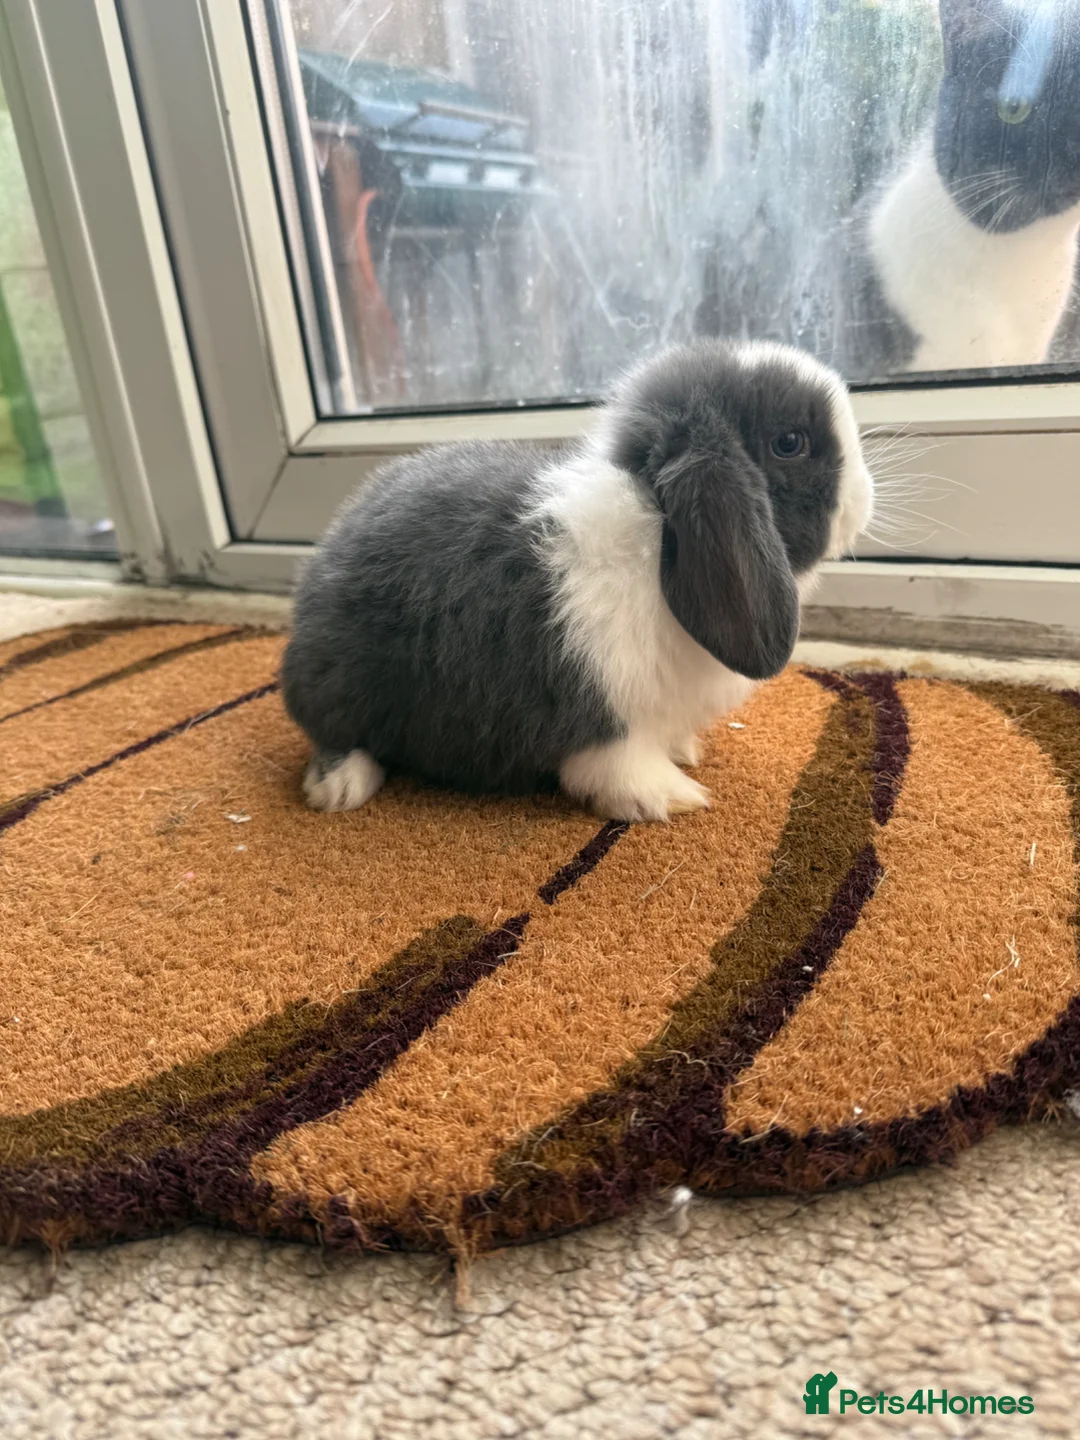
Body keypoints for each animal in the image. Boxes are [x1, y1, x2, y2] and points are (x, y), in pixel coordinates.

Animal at [282, 339, 873, 822]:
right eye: (790, 442)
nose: (865, 498)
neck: (657, 532)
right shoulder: (603, 711)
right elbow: (620, 764)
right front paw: (670, 797)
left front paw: (684, 752)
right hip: (340, 685)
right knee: (334, 739)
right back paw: (338, 790)